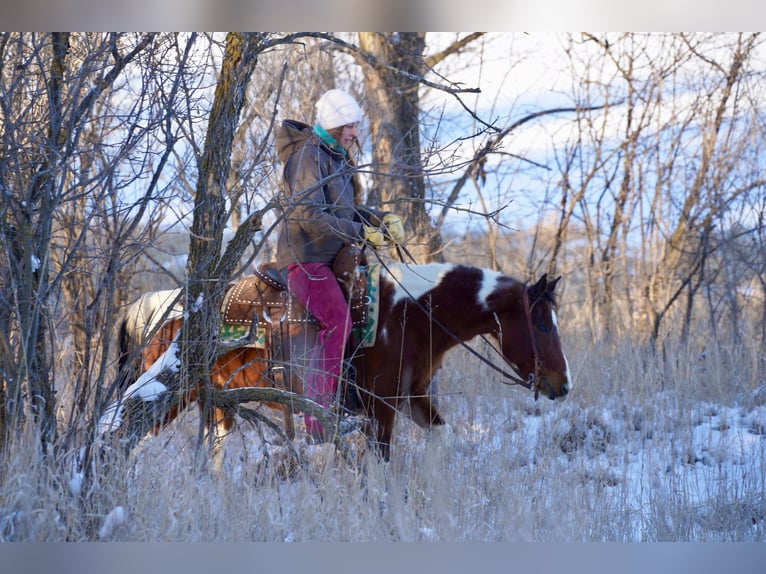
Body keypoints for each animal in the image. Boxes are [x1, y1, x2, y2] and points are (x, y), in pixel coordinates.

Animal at [114, 260, 568, 464]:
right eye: (543, 324)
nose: (562, 385)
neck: (411, 316)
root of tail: (145, 306)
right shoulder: (379, 408)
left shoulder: (412, 398)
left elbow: (444, 440)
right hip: (166, 399)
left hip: (218, 405)